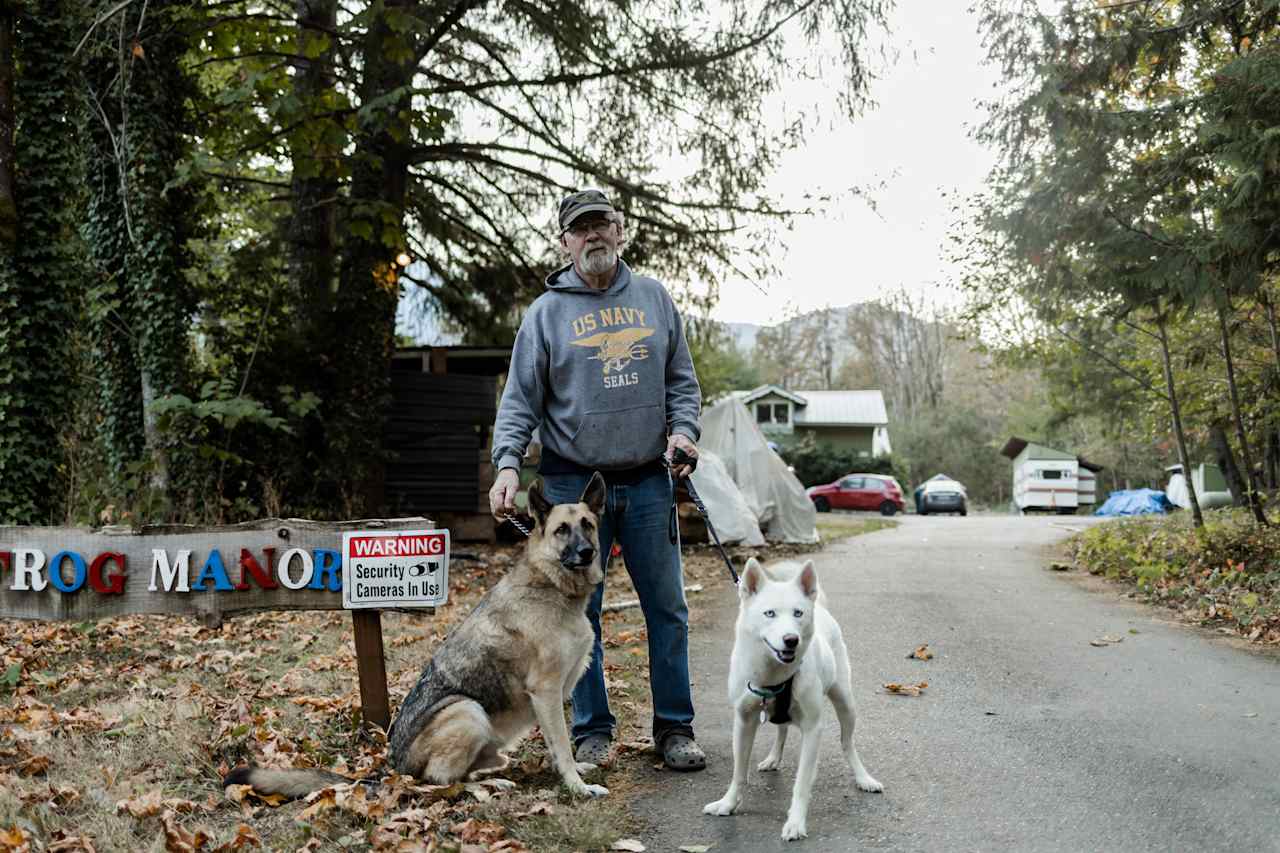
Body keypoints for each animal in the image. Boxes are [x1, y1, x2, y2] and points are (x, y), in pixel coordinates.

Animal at [225, 471, 609, 799]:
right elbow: (561, 744)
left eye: (588, 525)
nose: (587, 552)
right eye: (561, 530)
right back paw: (489, 784)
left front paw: (577, 772)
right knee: (439, 782)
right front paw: (577, 786)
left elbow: (562, 745)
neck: (554, 587)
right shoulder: (546, 692)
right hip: (467, 711)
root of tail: (393, 770)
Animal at [701, 555, 880, 840]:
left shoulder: (813, 729)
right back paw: (773, 758)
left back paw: (864, 778)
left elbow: (802, 783)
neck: (773, 674)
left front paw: (795, 822)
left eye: (798, 613)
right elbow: (739, 772)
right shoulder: (743, 722)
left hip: (846, 703)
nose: (791, 640)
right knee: (782, 729)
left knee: (847, 743)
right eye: (769, 613)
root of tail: (819, 606)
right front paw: (728, 804)